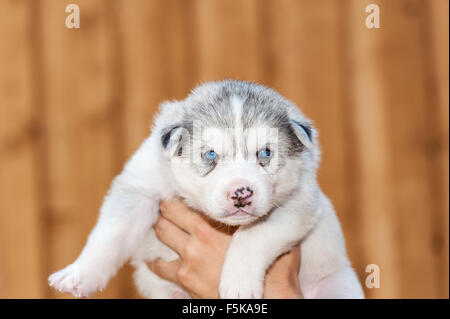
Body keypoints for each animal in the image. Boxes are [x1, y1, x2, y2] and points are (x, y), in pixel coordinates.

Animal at [49, 80, 364, 300]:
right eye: (210, 154)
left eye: (265, 152)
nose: (241, 193)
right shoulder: (140, 185)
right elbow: (110, 234)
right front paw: (79, 273)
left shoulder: (298, 202)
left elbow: (253, 237)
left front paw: (238, 283)